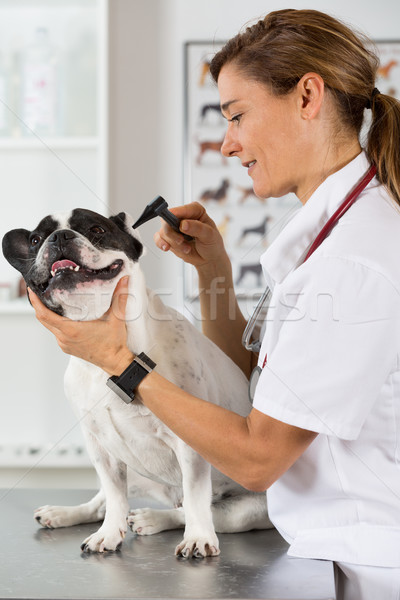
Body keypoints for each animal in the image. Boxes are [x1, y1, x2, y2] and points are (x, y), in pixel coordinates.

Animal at [2, 210, 272, 556]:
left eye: (97, 228)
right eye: (36, 240)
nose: (59, 237)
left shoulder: (190, 443)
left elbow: (196, 496)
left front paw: (198, 538)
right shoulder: (99, 446)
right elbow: (114, 493)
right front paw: (108, 533)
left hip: (246, 510)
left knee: (197, 509)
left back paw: (154, 519)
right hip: (132, 468)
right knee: (104, 500)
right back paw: (65, 513)